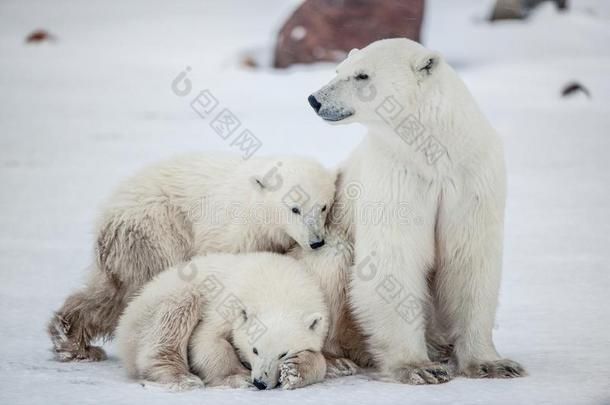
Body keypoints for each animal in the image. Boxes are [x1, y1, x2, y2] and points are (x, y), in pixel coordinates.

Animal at [306, 38, 524, 382]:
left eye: (362, 75)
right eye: (338, 69)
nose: (315, 99)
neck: (433, 150)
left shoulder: (471, 175)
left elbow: (469, 259)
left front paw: (492, 364)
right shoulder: (397, 174)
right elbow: (394, 257)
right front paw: (418, 368)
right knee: (332, 261)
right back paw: (335, 360)